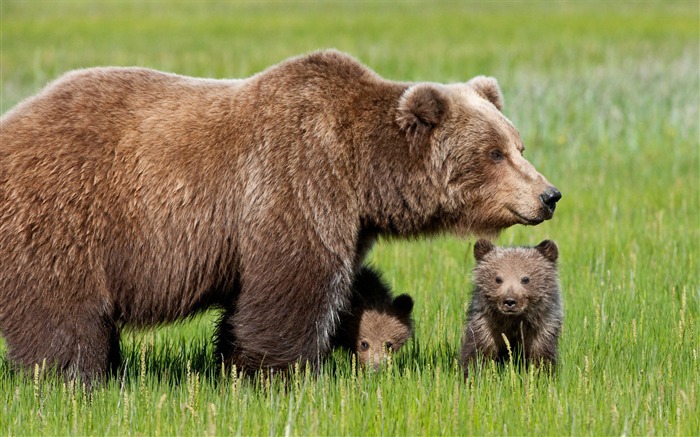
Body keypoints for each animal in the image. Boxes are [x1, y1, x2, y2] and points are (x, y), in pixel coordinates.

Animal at [0, 48, 556, 382]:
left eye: (518, 144)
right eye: (494, 153)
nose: (549, 195)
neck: (363, 172)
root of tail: (13, 120)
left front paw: (233, 362)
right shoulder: (297, 182)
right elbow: (292, 287)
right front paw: (278, 372)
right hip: (65, 216)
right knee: (63, 312)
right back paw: (74, 377)